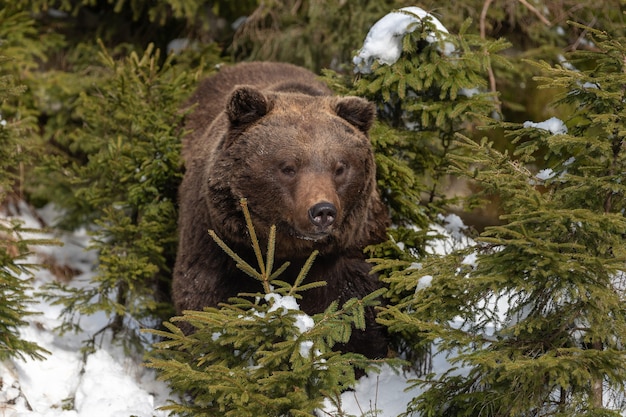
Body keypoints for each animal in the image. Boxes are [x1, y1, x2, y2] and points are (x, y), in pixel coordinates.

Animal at [168, 61, 388, 358]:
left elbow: (357, 315)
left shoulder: (349, 253)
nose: (323, 211)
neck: (287, 251)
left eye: (340, 167)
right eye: (288, 167)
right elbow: (203, 303)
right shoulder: (217, 242)